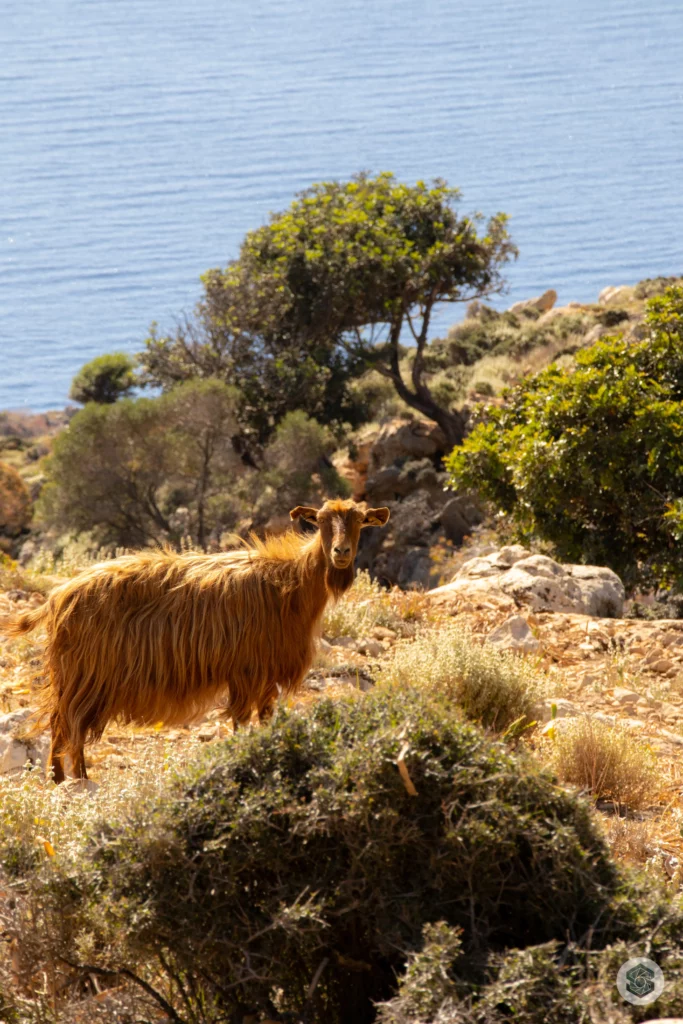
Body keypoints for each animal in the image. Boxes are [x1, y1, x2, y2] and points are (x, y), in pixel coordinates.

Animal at [1, 499, 390, 783]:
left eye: (359, 520)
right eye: (321, 520)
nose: (341, 553)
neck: (288, 584)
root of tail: (58, 596)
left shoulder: (264, 674)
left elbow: (265, 718)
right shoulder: (245, 671)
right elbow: (241, 720)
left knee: (70, 726)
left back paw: (71, 778)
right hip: (83, 675)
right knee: (64, 723)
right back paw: (69, 780)